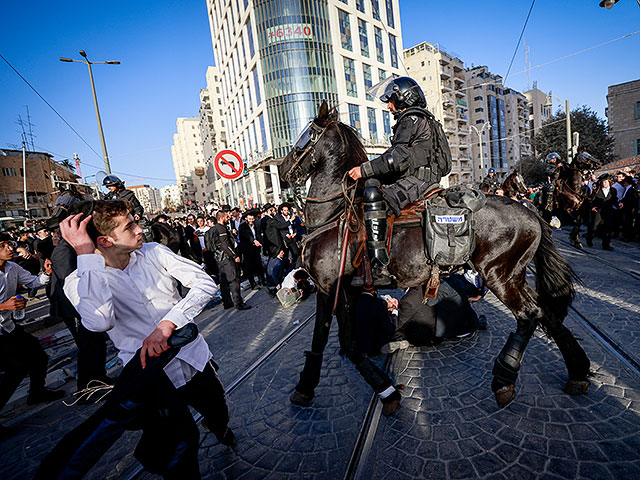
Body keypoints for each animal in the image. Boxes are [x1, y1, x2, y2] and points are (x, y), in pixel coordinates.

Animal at [280, 104, 592, 412]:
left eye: (306, 136)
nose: (282, 170)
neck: (334, 214)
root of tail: (532, 213)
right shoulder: (347, 292)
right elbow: (348, 344)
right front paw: (383, 389)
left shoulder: (328, 288)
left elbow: (329, 340)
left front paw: (310, 386)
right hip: (514, 275)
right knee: (546, 312)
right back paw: (577, 371)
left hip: (498, 275)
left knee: (529, 315)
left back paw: (504, 380)